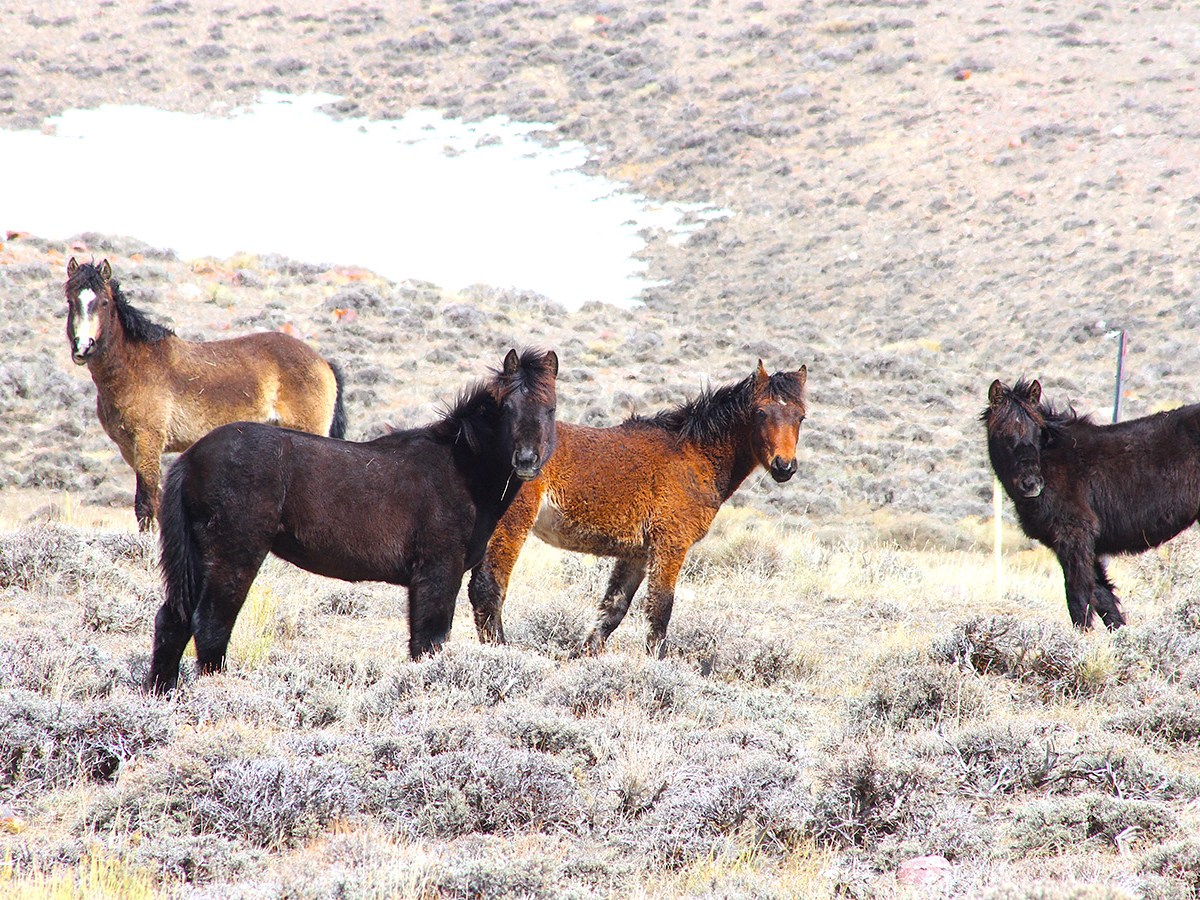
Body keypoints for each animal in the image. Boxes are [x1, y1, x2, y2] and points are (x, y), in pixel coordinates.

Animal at [65, 258, 347, 530]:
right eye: (70, 300)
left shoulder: (147, 442)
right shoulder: (129, 449)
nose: (83, 347)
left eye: (103, 302)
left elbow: (146, 504)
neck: (135, 365)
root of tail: (323, 362)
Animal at [144, 348, 559, 693]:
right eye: (507, 408)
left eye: (551, 408)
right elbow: (430, 642)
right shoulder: (438, 573)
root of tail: (191, 457)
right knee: (211, 624)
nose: (526, 460)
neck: (458, 468)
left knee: (172, 621)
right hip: (234, 557)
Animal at [468, 360, 807, 656]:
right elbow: (660, 610)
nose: (784, 466)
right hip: (512, 525)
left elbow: (613, 609)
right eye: (760, 412)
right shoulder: (670, 545)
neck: (694, 455)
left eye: (801, 416)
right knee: (488, 588)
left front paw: (584, 657)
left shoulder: (636, 554)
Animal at [984, 378, 1200, 631]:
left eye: (1038, 431)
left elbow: (1078, 596)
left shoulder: (1074, 536)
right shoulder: (1083, 545)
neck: (1052, 462)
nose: (1032, 484)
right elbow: (1104, 599)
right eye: (1002, 432)